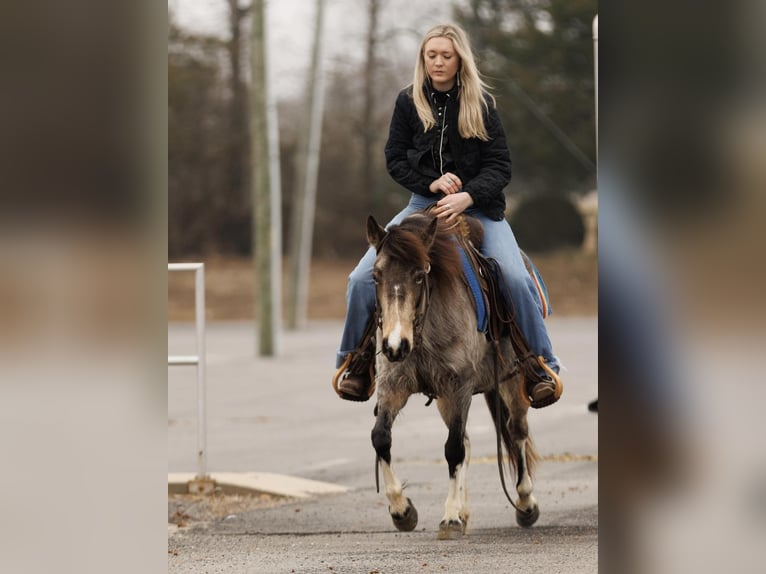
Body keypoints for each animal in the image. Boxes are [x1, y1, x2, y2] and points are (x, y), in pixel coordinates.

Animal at [368, 210, 544, 540]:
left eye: (419, 275)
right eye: (375, 275)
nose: (395, 345)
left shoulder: (459, 387)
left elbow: (453, 449)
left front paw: (449, 518)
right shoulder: (393, 385)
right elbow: (381, 438)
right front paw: (402, 511)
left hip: (511, 382)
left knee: (516, 431)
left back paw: (526, 503)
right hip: (444, 399)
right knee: (469, 442)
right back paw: (464, 511)